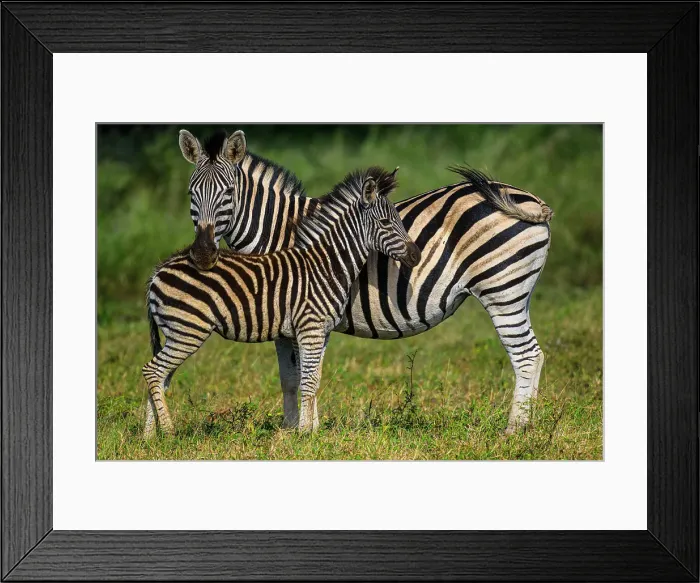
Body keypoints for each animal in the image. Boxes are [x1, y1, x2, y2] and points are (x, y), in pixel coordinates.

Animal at [143, 166, 421, 436]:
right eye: (385, 222)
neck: (326, 265)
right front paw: (305, 433)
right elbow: (307, 381)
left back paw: (149, 436)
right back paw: (167, 431)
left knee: (159, 377)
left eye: (397, 220)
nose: (416, 256)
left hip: (177, 332)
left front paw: (309, 429)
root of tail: (158, 270)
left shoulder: (319, 332)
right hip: (187, 330)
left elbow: (312, 380)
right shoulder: (309, 328)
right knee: (152, 371)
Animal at [178, 129, 553, 434]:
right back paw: (530, 426)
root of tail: (532, 199)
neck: (280, 232)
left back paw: (512, 430)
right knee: (535, 355)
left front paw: (306, 430)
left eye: (228, 192)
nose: (203, 254)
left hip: (501, 290)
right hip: (517, 292)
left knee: (525, 356)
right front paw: (291, 429)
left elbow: (306, 375)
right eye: (190, 193)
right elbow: (290, 378)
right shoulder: (287, 322)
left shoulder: (307, 316)